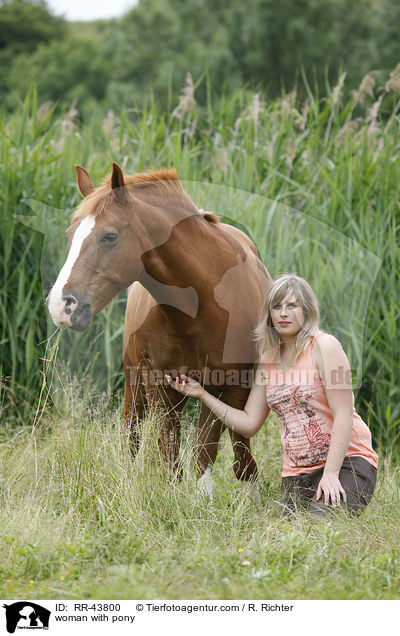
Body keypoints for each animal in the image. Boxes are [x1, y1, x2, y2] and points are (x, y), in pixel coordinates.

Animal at [47, 164, 272, 502]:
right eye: (70, 235)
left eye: (109, 236)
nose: (61, 306)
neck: (202, 303)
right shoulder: (161, 386)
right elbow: (170, 456)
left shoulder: (229, 387)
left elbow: (214, 453)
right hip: (135, 384)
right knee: (133, 436)